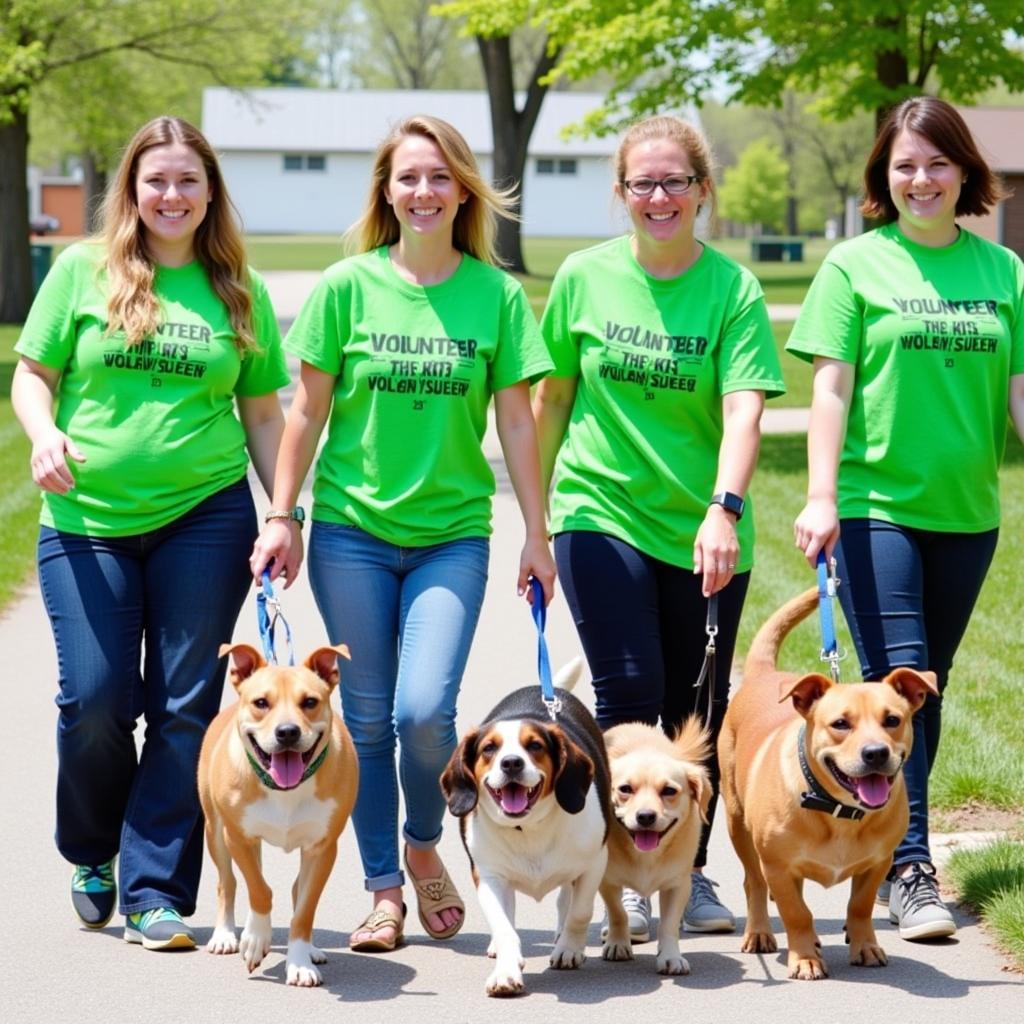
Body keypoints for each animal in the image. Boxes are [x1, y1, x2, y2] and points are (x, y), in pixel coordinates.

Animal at [197, 643, 358, 987]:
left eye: (309, 702)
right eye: (261, 703)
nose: (287, 732)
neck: (285, 788)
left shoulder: (323, 848)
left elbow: (305, 908)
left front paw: (299, 962)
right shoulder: (238, 837)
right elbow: (259, 889)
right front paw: (257, 938)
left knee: (296, 889)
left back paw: (309, 949)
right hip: (215, 830)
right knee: (229, 882)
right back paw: (227, 935)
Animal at [438, 671, 606, 999]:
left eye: (535, 745)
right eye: (489, 748)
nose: (511, 763)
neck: (529, 827)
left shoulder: (594, 864)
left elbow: (580, 911)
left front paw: (569, 948)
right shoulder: (489, 876)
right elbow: (504, 927)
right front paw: (506, 971)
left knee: (567, 898)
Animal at [598, 720, 712, 974]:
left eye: (669, 791)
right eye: (625, 789)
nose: (645, 816)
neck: (645, 856)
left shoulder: (677, 885)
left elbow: (668, 925)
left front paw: (670, 956)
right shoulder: (607, 881)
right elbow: (618, 912)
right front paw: (618, 943)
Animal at [716, 589, 937, 978]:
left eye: (892, 720)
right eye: (840, 724)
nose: (876, 753)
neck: (839, 809)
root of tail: (764, 675)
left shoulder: (877, 862)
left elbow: (860, 906)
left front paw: (865, 945)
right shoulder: (776, 865)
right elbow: (796, 912)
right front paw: (804, 957)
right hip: (737, 823)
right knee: (754, 882)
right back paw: (759, 931)